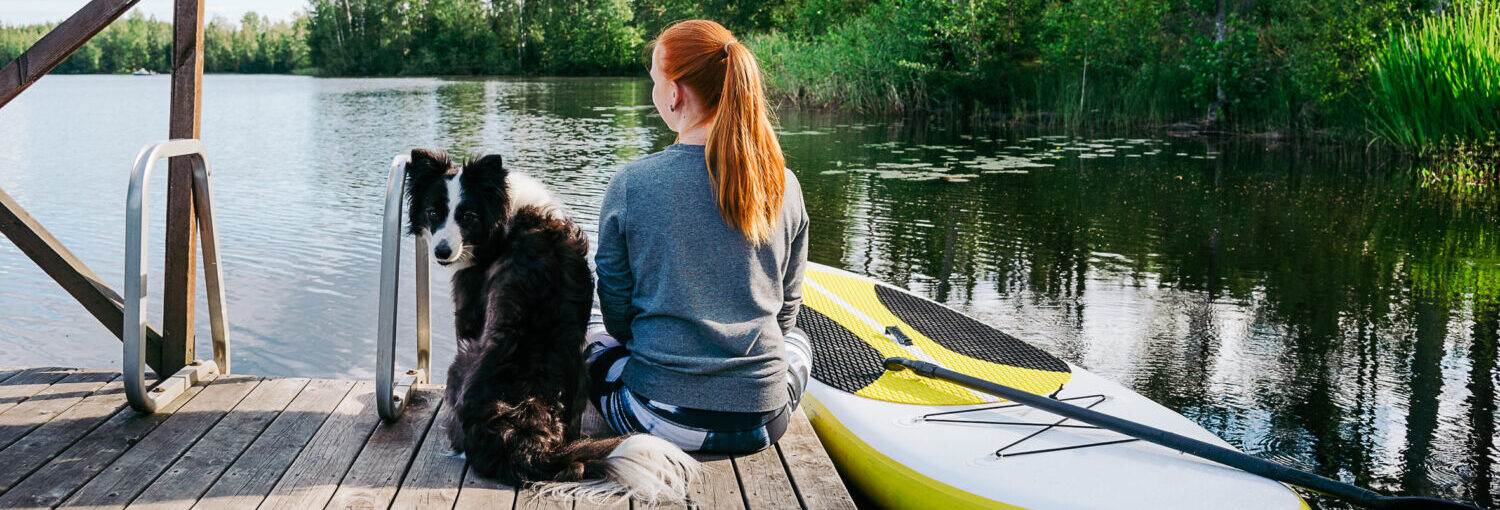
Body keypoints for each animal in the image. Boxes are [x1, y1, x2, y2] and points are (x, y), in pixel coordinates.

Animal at [402, 148, 699, 501]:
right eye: (434, 212)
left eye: (468, 216)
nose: (442, 251)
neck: (506, 214)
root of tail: (527, 436)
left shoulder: (470, 309)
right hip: (582, 371)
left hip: (460, 366)